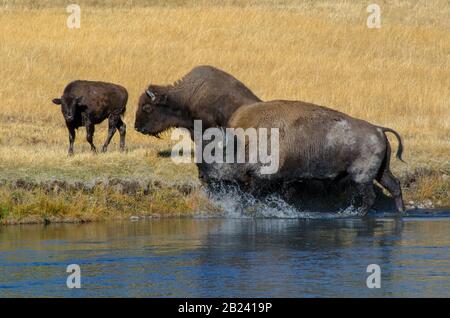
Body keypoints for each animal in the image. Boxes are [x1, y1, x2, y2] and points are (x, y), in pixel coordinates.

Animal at [202, 101, 406, 216]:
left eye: (216, 153)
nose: (202, 176)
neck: (243, 141)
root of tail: (378, 129)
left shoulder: (262, 179)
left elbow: (252, 195)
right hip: (381, 172)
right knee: (394, 185)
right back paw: (401, 212)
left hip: (362, 178)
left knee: (370, 196)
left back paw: (357, 214)